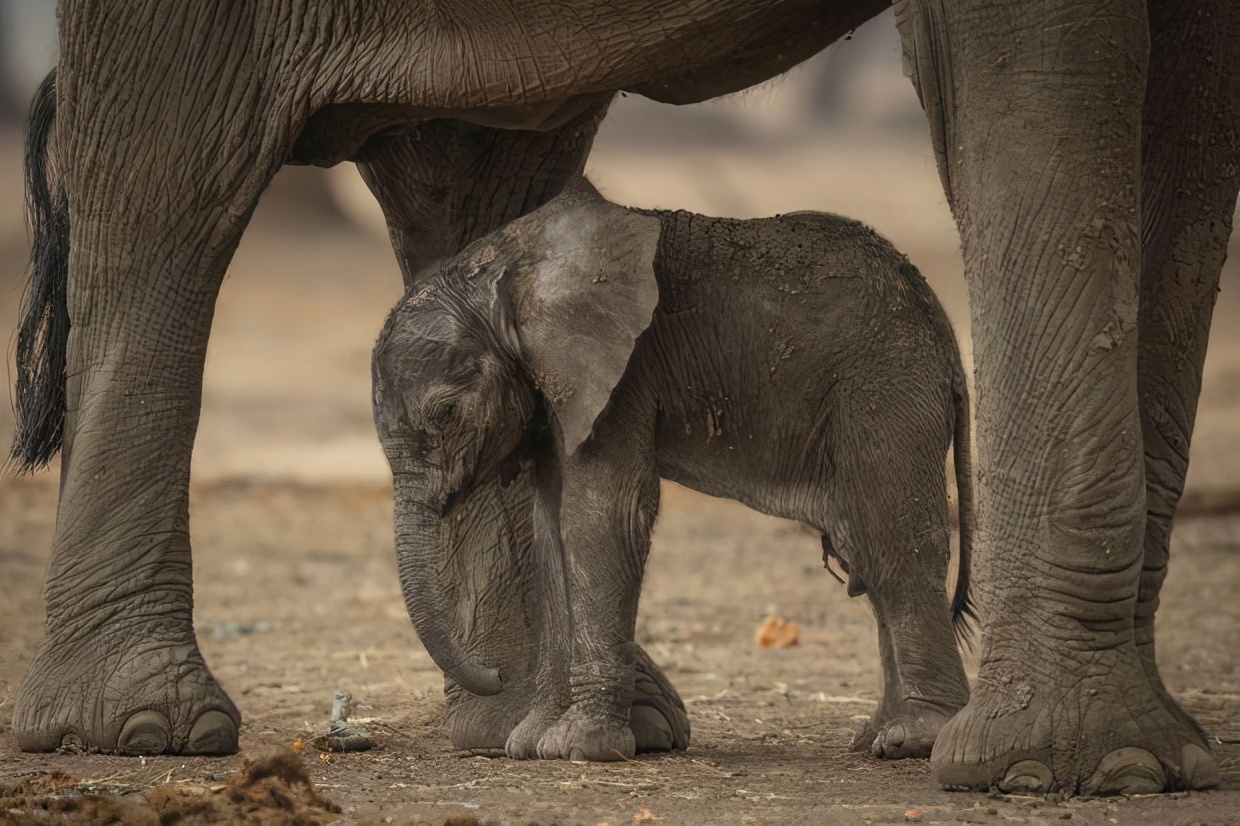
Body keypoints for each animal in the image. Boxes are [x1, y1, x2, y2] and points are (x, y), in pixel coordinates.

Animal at [372, 177, 972, 763]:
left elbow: (602, 517)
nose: (494, 675)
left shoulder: (623, 373)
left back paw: (913, 738)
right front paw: (530, 743)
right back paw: (875, 737)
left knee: (891, 543)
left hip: (885, 388)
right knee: (863, 553)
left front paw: (581, 749)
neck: (502, 267)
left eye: (447, 412)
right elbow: (551, 530)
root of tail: (946, 337)